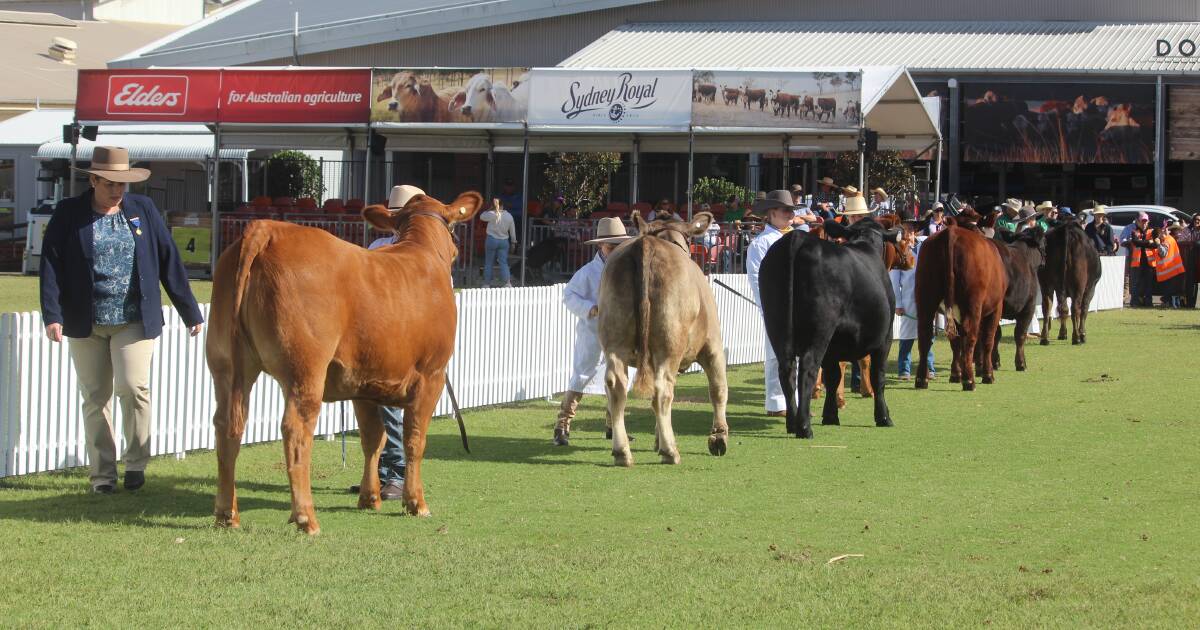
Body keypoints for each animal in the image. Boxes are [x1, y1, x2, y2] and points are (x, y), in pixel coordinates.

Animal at [206, 190, 482, 530]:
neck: (420, 251)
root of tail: (266, 228)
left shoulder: (365, 383)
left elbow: (373, 438)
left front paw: (369, 497)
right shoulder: (432, 375)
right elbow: (414, 439)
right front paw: (415, 502)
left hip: (226, 362)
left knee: (226, 426)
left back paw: (226, 513)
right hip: (305, 367)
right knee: (295, 430)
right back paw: (305, 517)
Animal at [600, 211, 729, 465]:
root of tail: (646, 243)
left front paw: (658, 438)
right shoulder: (713, 345)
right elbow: (718, 388)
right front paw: (719, 438)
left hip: (614, 337)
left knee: (617, 385)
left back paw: (622, 452)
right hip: (669, 342)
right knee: (662, 391)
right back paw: (670, 451)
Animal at [758, 216, 902, 436]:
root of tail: (797, 238)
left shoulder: (833, 346)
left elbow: (833, 376)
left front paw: (830, 415)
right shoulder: (885, 337)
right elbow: (878, 376)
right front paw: (883, 417)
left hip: (777, 325)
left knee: (787, 370)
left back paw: (792, 423)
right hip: (820, 329)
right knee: (808, 369)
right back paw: (804, 427)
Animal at [912, 223, 1008, 391]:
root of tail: (951, 232)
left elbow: (956, 344)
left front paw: (956, 374)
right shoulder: (996, 308)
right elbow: (988, 340)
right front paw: (987, 375)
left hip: (925, 297)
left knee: (925, 334)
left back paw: (921, 380)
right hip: (973, 303)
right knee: (970, 337)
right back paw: (969, 381)